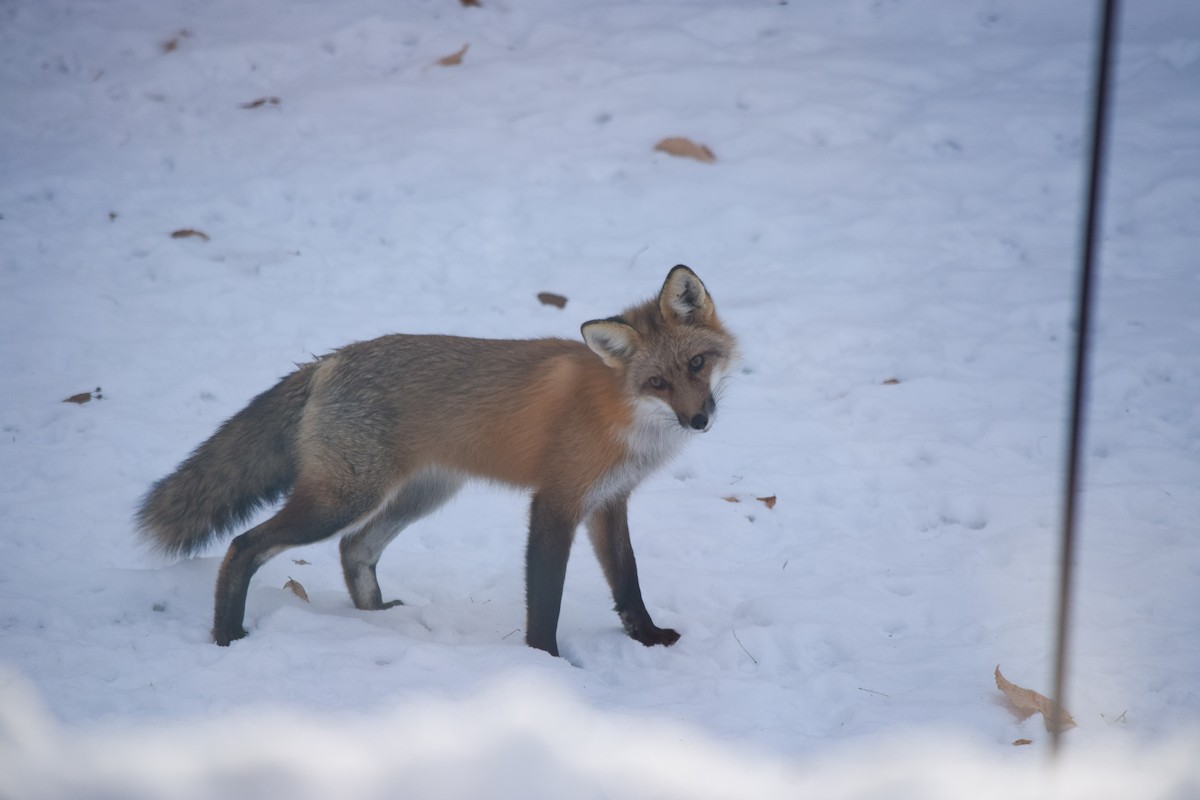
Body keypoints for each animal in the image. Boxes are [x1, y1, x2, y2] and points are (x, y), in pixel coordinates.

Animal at [137, 265, 735, 657]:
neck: (622, 412)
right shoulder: (556, 501)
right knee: (244, 546)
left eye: (697, 364)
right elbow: (546, 597)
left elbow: (628, 582)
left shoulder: (609, 501)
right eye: (657, 383)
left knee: (355, 548)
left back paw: (376, 618)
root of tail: (329, 359)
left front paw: (648, 640)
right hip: (343, 498)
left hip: (420, 495)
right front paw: (547, 661)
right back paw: (227, 636)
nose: (699, 421)